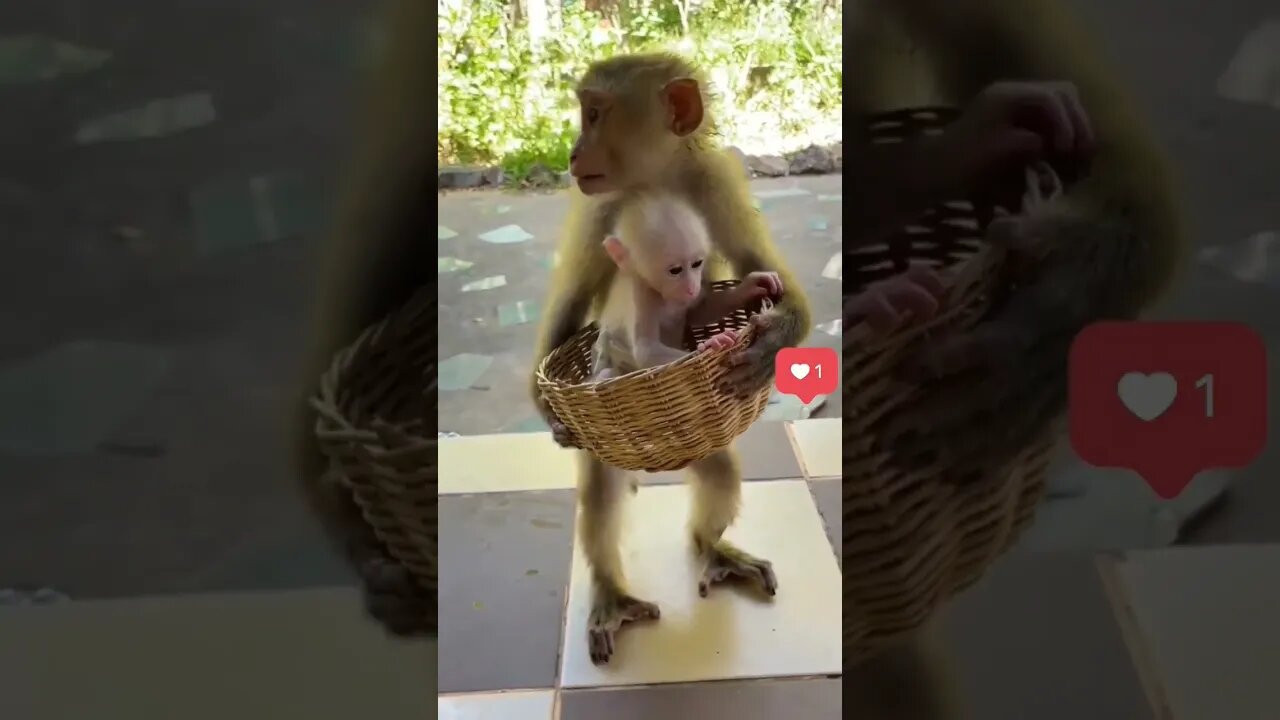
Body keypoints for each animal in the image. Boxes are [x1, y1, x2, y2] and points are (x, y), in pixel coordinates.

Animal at [529, 53, 813, 665]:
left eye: (594, 114)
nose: (572, 152)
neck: (653, 178)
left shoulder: (712, 184)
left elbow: (764, 279)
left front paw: (765, 340)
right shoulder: (600, 209)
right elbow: (574, 307)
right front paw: (550, 412)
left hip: (704, 453)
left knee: (719, 470)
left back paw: (712, 547)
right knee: (602, 490)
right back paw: (611, 590)